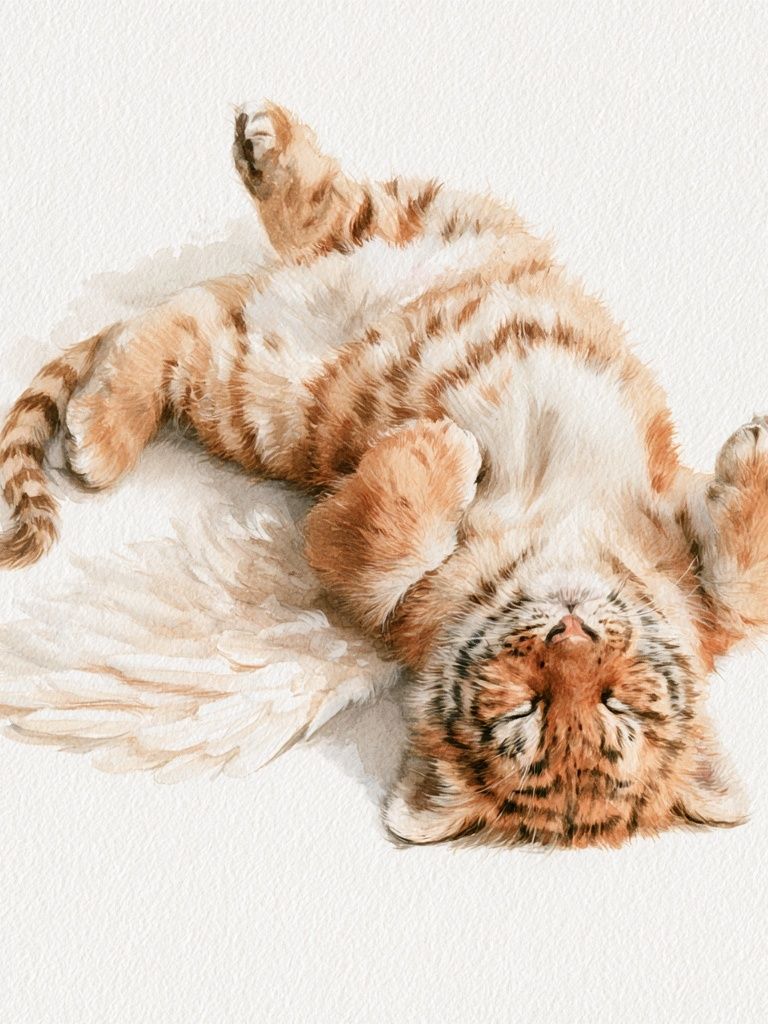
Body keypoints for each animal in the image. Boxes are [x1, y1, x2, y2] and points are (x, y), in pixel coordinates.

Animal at [1, 100, 764, 847]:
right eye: (526, 708)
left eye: (611, 705)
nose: (571, 632)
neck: (562, 546)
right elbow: (744, 590)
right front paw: (453, 447)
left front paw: (443, 447)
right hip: (414, 235)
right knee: (317, 213)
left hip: (257, 397)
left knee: (176, 328)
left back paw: (98, 431)